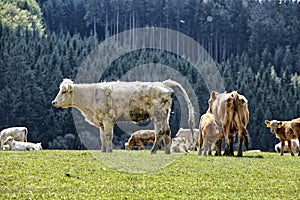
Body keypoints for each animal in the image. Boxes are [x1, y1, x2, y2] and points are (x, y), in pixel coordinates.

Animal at [52, 79, 195, 154]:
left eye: (64, 91)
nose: (54, 102)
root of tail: (163, 83)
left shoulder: (108, 120)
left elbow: (108, 136)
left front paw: (109, 151)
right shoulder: (101, 122)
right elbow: (102, 137)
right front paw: (103, 151)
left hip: (158, 115)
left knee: (160, 132)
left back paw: (153, 150)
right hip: (164, 115)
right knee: (166, 131)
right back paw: (166, 152)